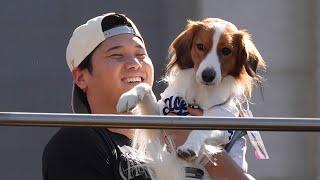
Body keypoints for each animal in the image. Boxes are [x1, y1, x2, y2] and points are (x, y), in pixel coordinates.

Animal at [117, 17, 264, 179]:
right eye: (200, 46)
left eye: (226, 51)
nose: (208, 75)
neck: (200, 93)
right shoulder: (161, 126)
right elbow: (144, 86)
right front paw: (128, 96)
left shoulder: (224, 123)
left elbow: (203, 127)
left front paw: (190, 146)